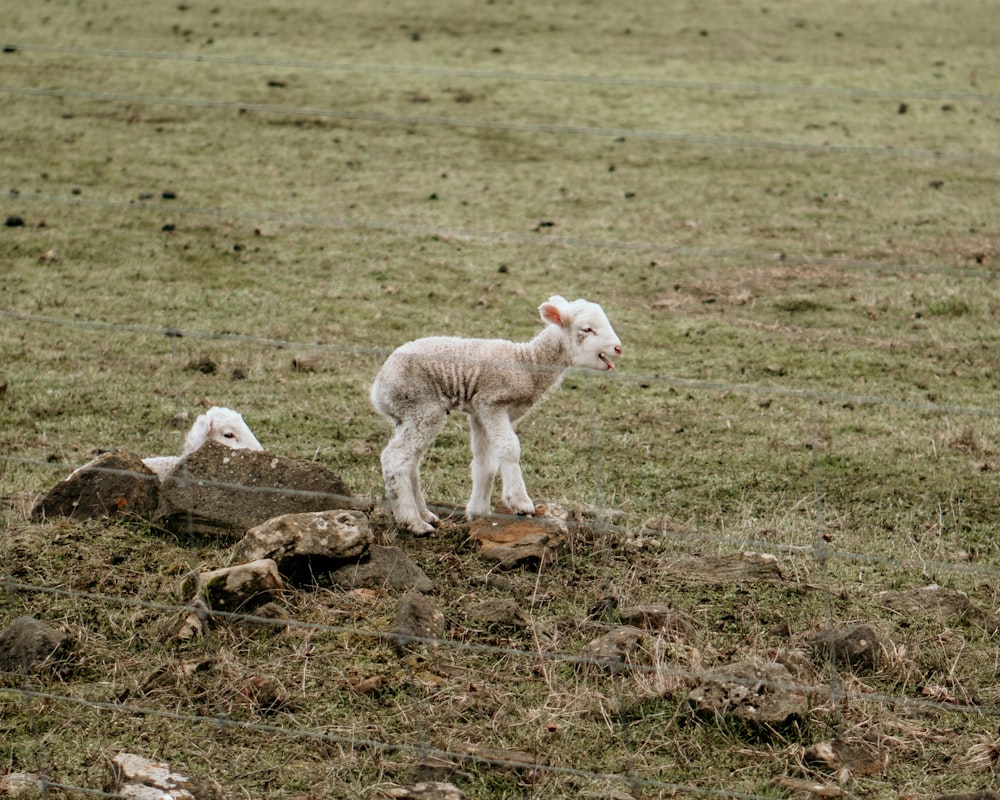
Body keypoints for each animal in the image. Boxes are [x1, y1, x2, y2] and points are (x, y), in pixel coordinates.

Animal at [372, 296, 620, 536]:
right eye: (587, 329)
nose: (618, 348)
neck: (528, 365)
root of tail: (378, 388)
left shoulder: (479, 411)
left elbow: (485, 461)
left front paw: (479, 512)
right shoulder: (493, 403)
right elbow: (510, 448)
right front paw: (520, 502)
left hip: (410, 415)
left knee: (411, 461)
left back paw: (423, 514)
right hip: (422, 406)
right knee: (396, 458)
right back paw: (414, 522)